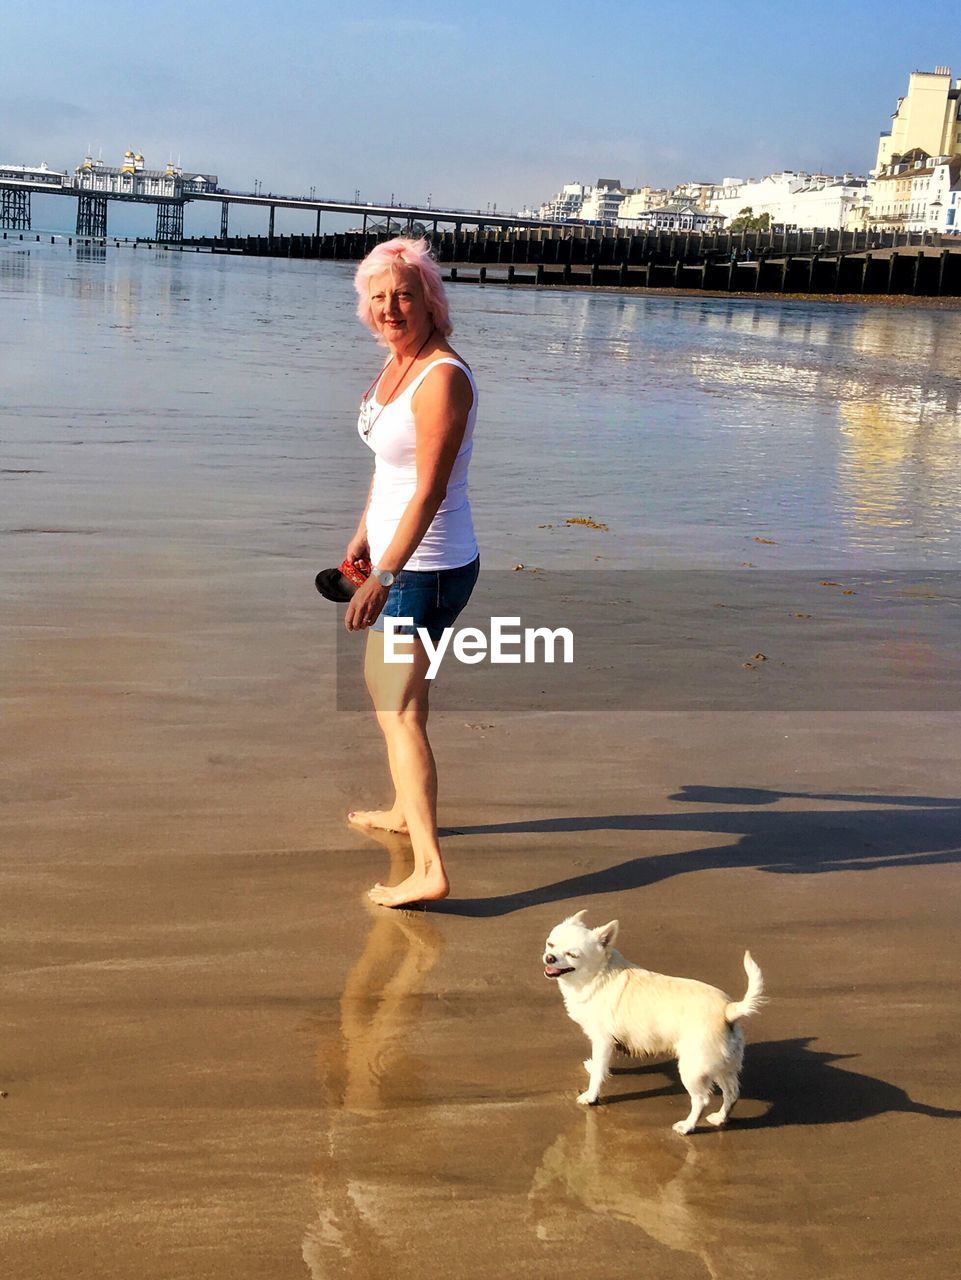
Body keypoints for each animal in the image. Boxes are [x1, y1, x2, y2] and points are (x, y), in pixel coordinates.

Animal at [545, 911, 762, 1131]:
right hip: (720, 1065)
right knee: (732, 1093)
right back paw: (720, 1118)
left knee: (701, 1100)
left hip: (693, 1068)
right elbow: (601, 1064)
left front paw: (591, 1096)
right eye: (550, 944)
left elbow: (598, 1071)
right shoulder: (608, 1043)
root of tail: (728, 1010)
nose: (549, 957)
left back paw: (688, 1126)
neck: (598, 974)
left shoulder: (602, 1040)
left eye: (572, 955)